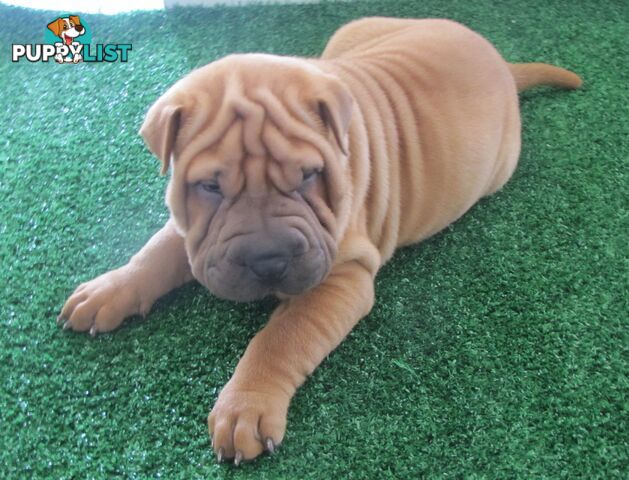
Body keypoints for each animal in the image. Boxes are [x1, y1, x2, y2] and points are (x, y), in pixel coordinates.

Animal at [59, 16, 580, 464]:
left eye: (309, 176)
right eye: (209, 187)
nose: (268, 260)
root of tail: (502, 63)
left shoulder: (342, 275)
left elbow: (282, 336)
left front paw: (245, 407)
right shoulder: (195, 232)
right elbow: (157, 253)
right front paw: (108, 290)